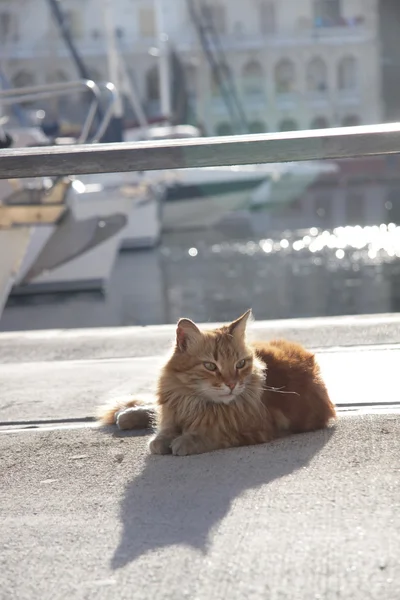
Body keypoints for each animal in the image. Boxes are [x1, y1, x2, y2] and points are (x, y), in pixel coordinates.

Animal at [98, 312, 336, 458]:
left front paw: (186, 441)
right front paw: (162, 438)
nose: (232, 384)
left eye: (240, 364)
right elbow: (163, 428)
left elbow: (214, 433)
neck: (194, 402)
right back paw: (127, 414)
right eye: (211, 366)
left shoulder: (257, 430)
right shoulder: (173, 409)